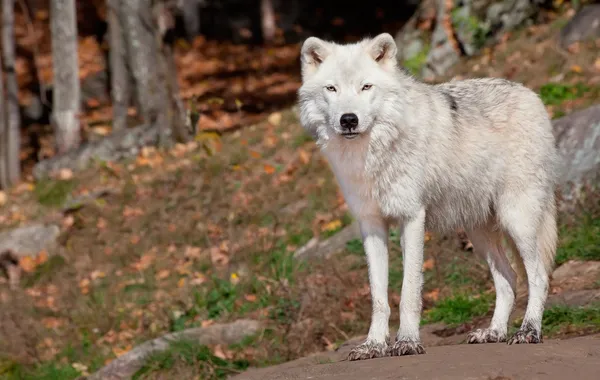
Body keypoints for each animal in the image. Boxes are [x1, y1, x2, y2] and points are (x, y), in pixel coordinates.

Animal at [298, 32, 560, 360]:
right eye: (331, 88)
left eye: (366, 87)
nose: (349, 119)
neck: (371, 155)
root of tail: (530, 94)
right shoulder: (371, 225)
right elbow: (379, 298)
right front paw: (373, 345)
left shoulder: (411, 218)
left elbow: (409, 291)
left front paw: (408, 341)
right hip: (479, 232)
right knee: (509, 279)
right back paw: (494, 332)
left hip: (517, 220)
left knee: (539, 276)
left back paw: (529, 331)